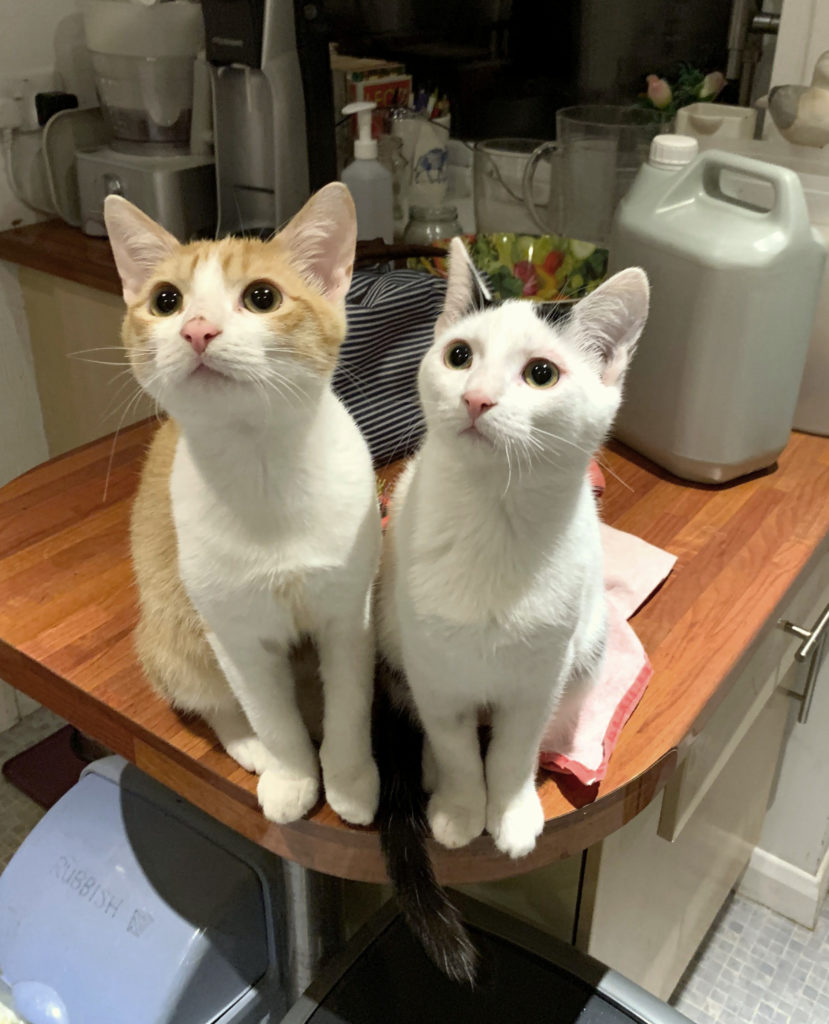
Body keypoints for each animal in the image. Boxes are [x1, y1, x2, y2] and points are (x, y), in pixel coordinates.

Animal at [104, 182, 384, 823]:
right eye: (166, 300)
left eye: (262, 297)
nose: (198, 329)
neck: (263, 467)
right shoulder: (234, 632)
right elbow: (268, 712)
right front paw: (291, 776)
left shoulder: (348, 614)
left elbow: (350, 705)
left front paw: (350, 780)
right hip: (173, 631)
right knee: (212, 697)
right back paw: (248, 745)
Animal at [378, 237, 646, 856]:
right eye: (458, 356)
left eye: (541, 373)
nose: (476, 399)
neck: (492, 519)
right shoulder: (432, 667)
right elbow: (455, 746)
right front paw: (459, 809)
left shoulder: (540, 675)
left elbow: (513, 750)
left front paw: (512, 811)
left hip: (588, 645)